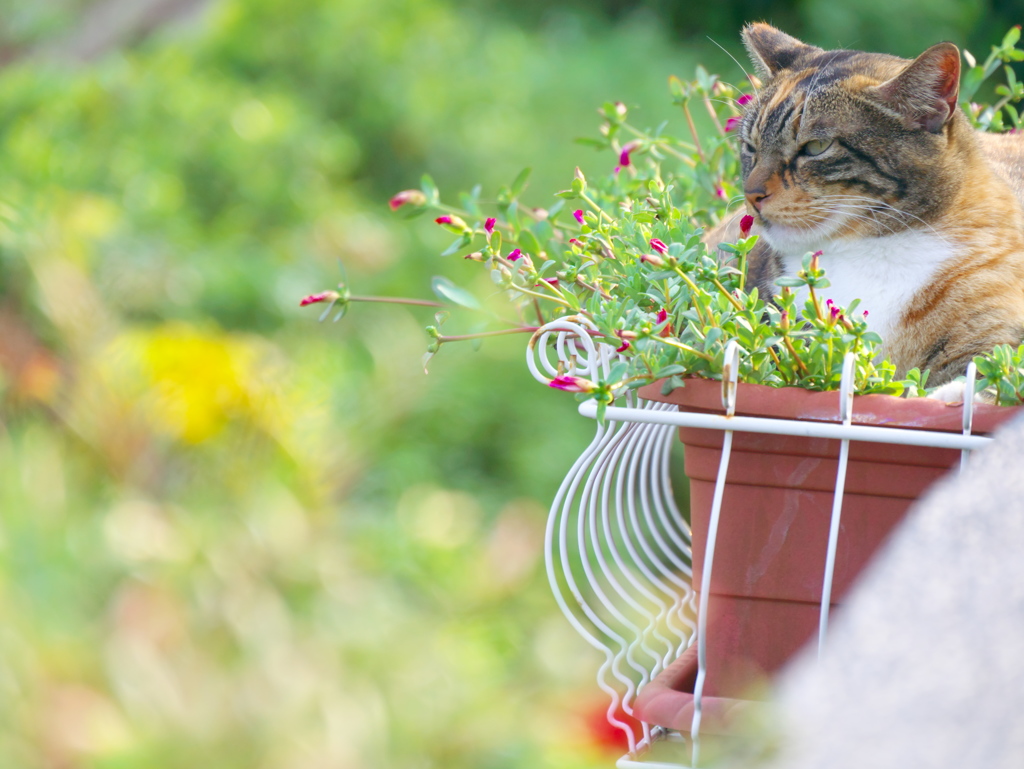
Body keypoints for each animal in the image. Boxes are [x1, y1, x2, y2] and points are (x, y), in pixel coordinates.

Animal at [708, 24, 1024, 391]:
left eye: (816, 146)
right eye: (750, 146)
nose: (750, 193)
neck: (871, 251)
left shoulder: (994, 337)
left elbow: (984, 377)